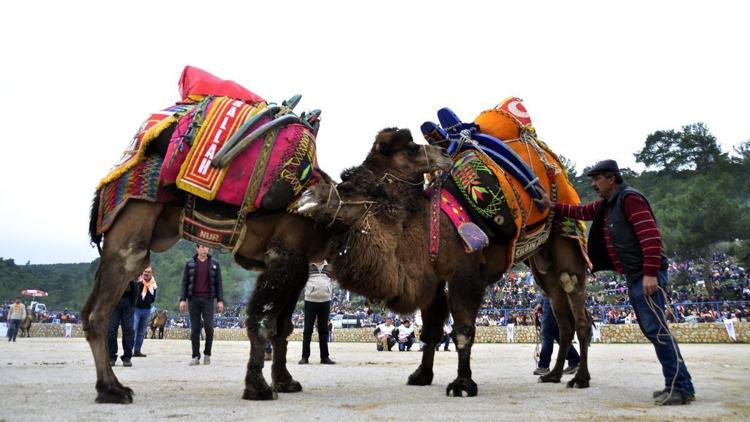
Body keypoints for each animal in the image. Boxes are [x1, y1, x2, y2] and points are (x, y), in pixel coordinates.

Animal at [82, 124, 452, 402]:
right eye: (413, 148)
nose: (445, 154)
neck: (331, 215)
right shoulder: (283, 256)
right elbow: (261, 320)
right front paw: (258, 388)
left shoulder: (299, 264)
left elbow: (282, 327)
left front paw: (285, 382)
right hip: (130, 234)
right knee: (99, 313)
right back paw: (113, 389)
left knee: (90, 311)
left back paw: (107, 386)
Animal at [300, 128, 592, 396]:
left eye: (348, 187)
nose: (307, 197)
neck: (427, 225)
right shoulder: (433, 279)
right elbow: (431, 330)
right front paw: (421, 375)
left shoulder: (465, 274)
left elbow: (462, 329)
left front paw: (462, 384)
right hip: (541, 264)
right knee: (561, 313)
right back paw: (554, 375)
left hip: (565, 238)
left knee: (576, 301)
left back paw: (580, 379)